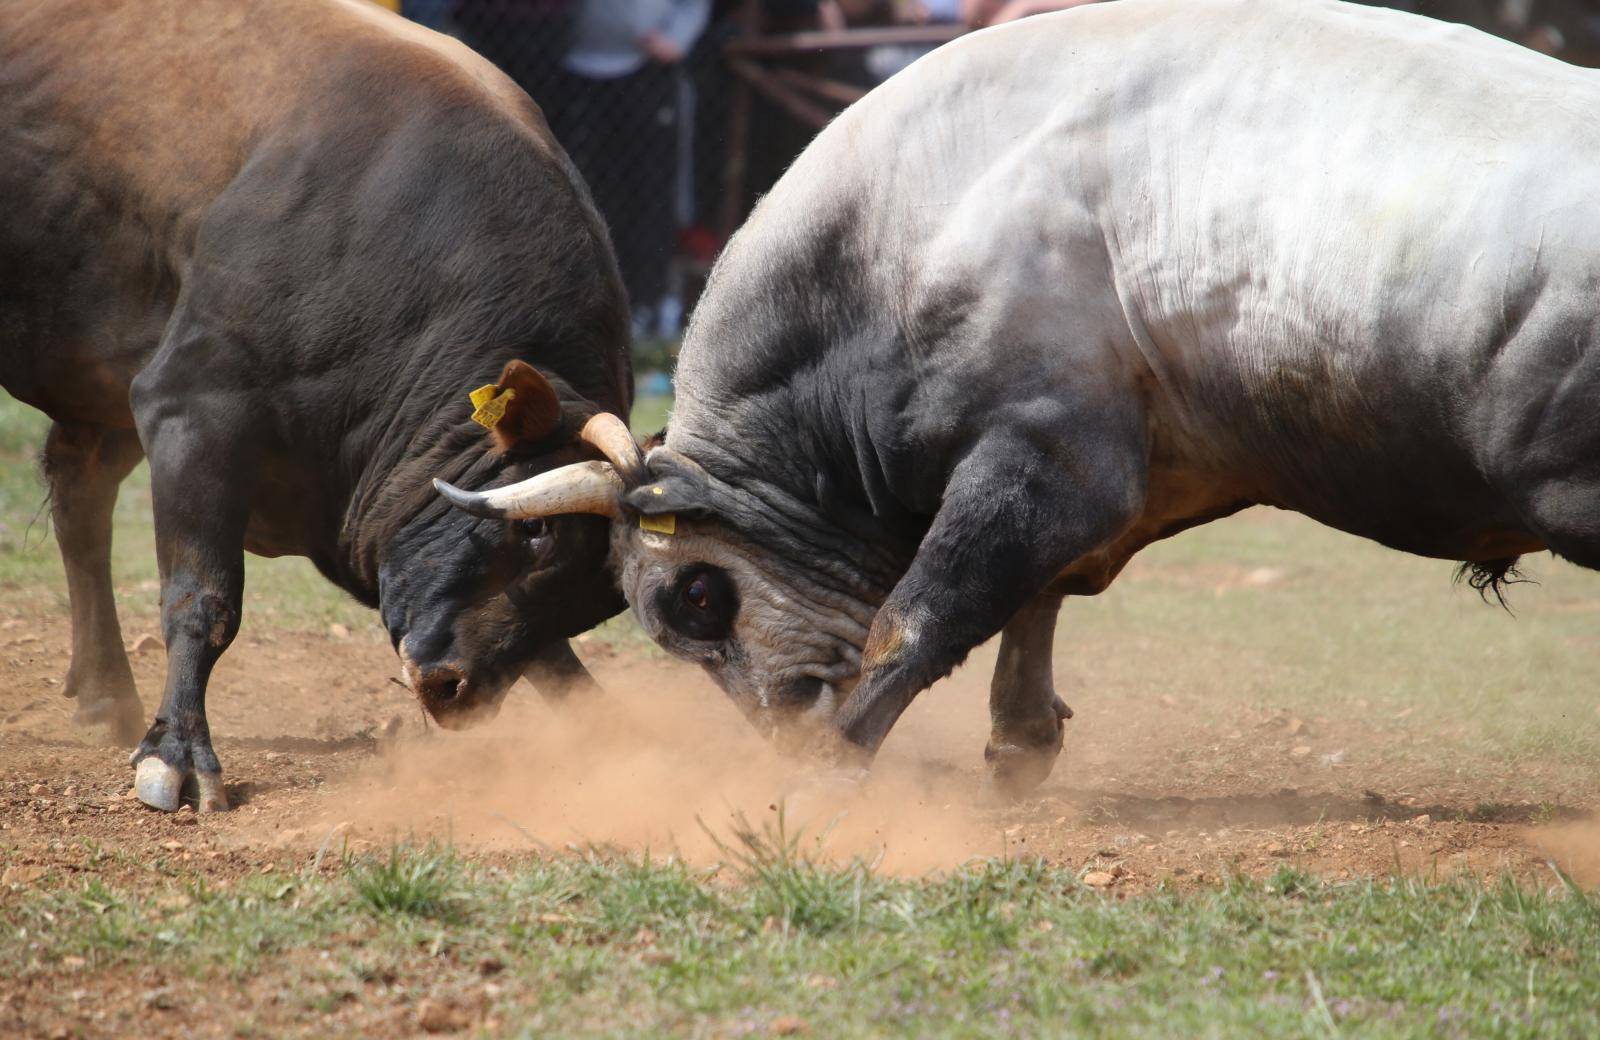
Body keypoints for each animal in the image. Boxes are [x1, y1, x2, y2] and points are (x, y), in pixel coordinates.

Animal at [435, 2, 1600, 793]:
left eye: (695, 597)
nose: (782, 728)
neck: (902, 231)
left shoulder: (1048, 456)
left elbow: (925, 613)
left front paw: (838, 765)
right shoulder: (1109, 466)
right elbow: (1035, 596)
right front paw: (1019, 734)